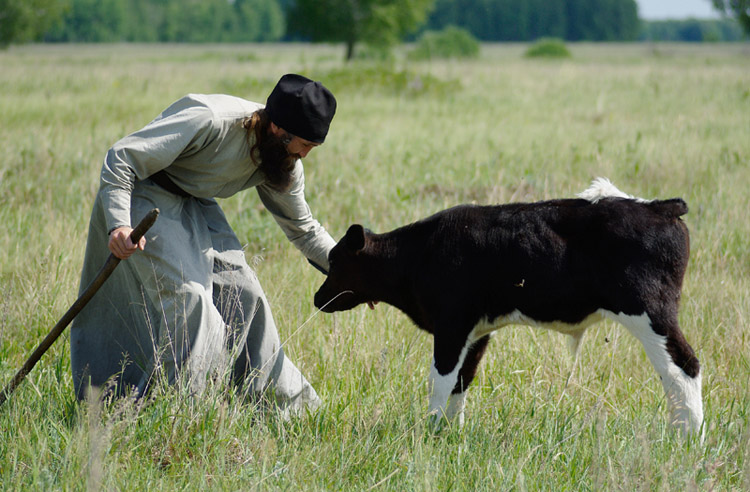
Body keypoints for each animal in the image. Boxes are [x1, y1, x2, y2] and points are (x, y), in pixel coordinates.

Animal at [316, 179, 704, 436]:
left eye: (335, 261)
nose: (318, 299)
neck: (420, 253)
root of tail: (657, 206)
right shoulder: (476, 331)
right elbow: (461, 381)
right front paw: (449, 435)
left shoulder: (451, 325)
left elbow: (439, 380)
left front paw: (431, 431)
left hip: (650, 312)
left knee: (683, 367)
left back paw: (687, 437)